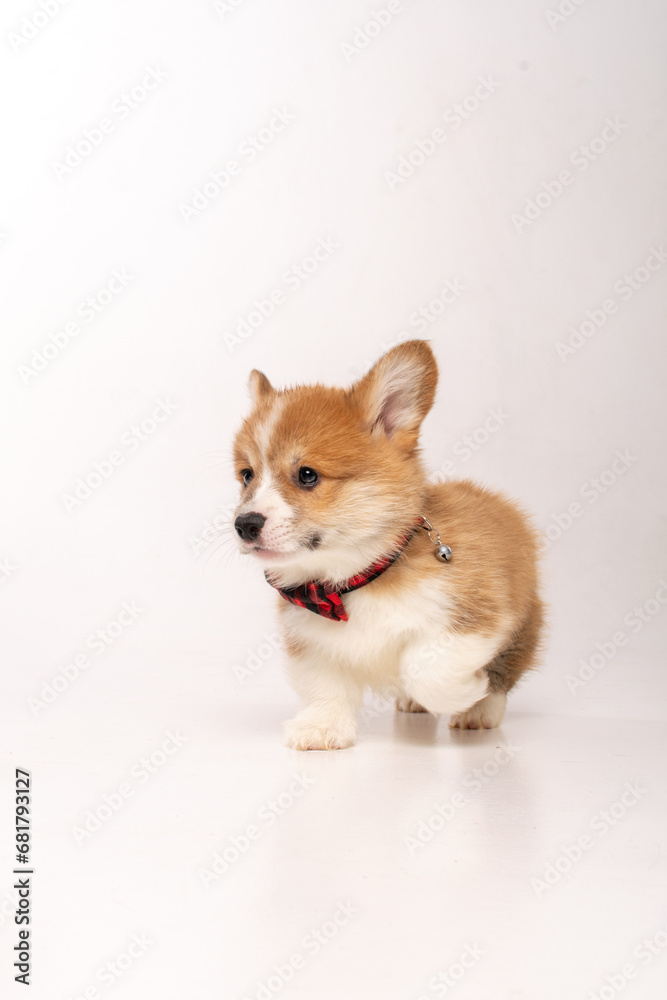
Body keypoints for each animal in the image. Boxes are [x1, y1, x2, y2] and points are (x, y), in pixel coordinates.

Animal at [232, 340, 544, 748]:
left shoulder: (478, 618)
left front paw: (468, 692)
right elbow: (324, 687)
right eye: (247, 475)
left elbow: (425, 669)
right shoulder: (312, 640)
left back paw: (479, 711)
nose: (244, 524)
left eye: (307, 475)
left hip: (525, 625)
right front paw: (323, 727)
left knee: (504, 674)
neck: (356, 578)